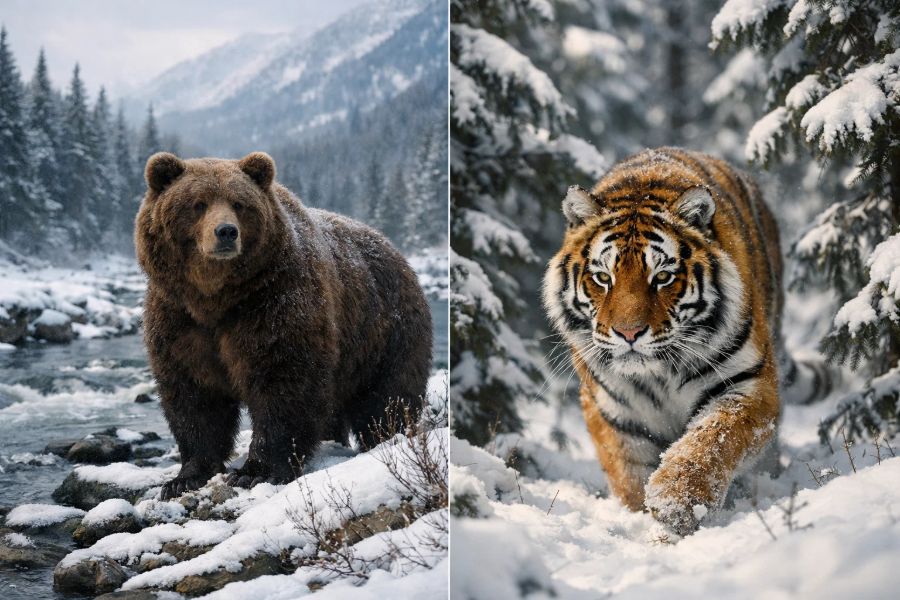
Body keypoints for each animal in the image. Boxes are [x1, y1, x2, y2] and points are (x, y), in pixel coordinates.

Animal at [135, 151, 433, 499]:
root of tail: (395, 250)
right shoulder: (179, 317)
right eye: (198, 203)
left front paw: (255, 471)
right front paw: (186, 476)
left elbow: (283, 382)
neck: (216, 299)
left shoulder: (275, 302)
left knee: (387, 397)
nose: (226, 232)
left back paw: (388, 438)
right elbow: (194, 394)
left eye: (239, 203)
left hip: (384, 332)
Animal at [542, 147, 832, 535]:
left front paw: (675, 500)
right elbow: (628, 475)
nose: (629, 333)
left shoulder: (747, 383)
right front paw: (645, 519)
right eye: (603, 278)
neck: (658, 375)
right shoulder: (610, 409)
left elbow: (710, 439)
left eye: (663, 277)